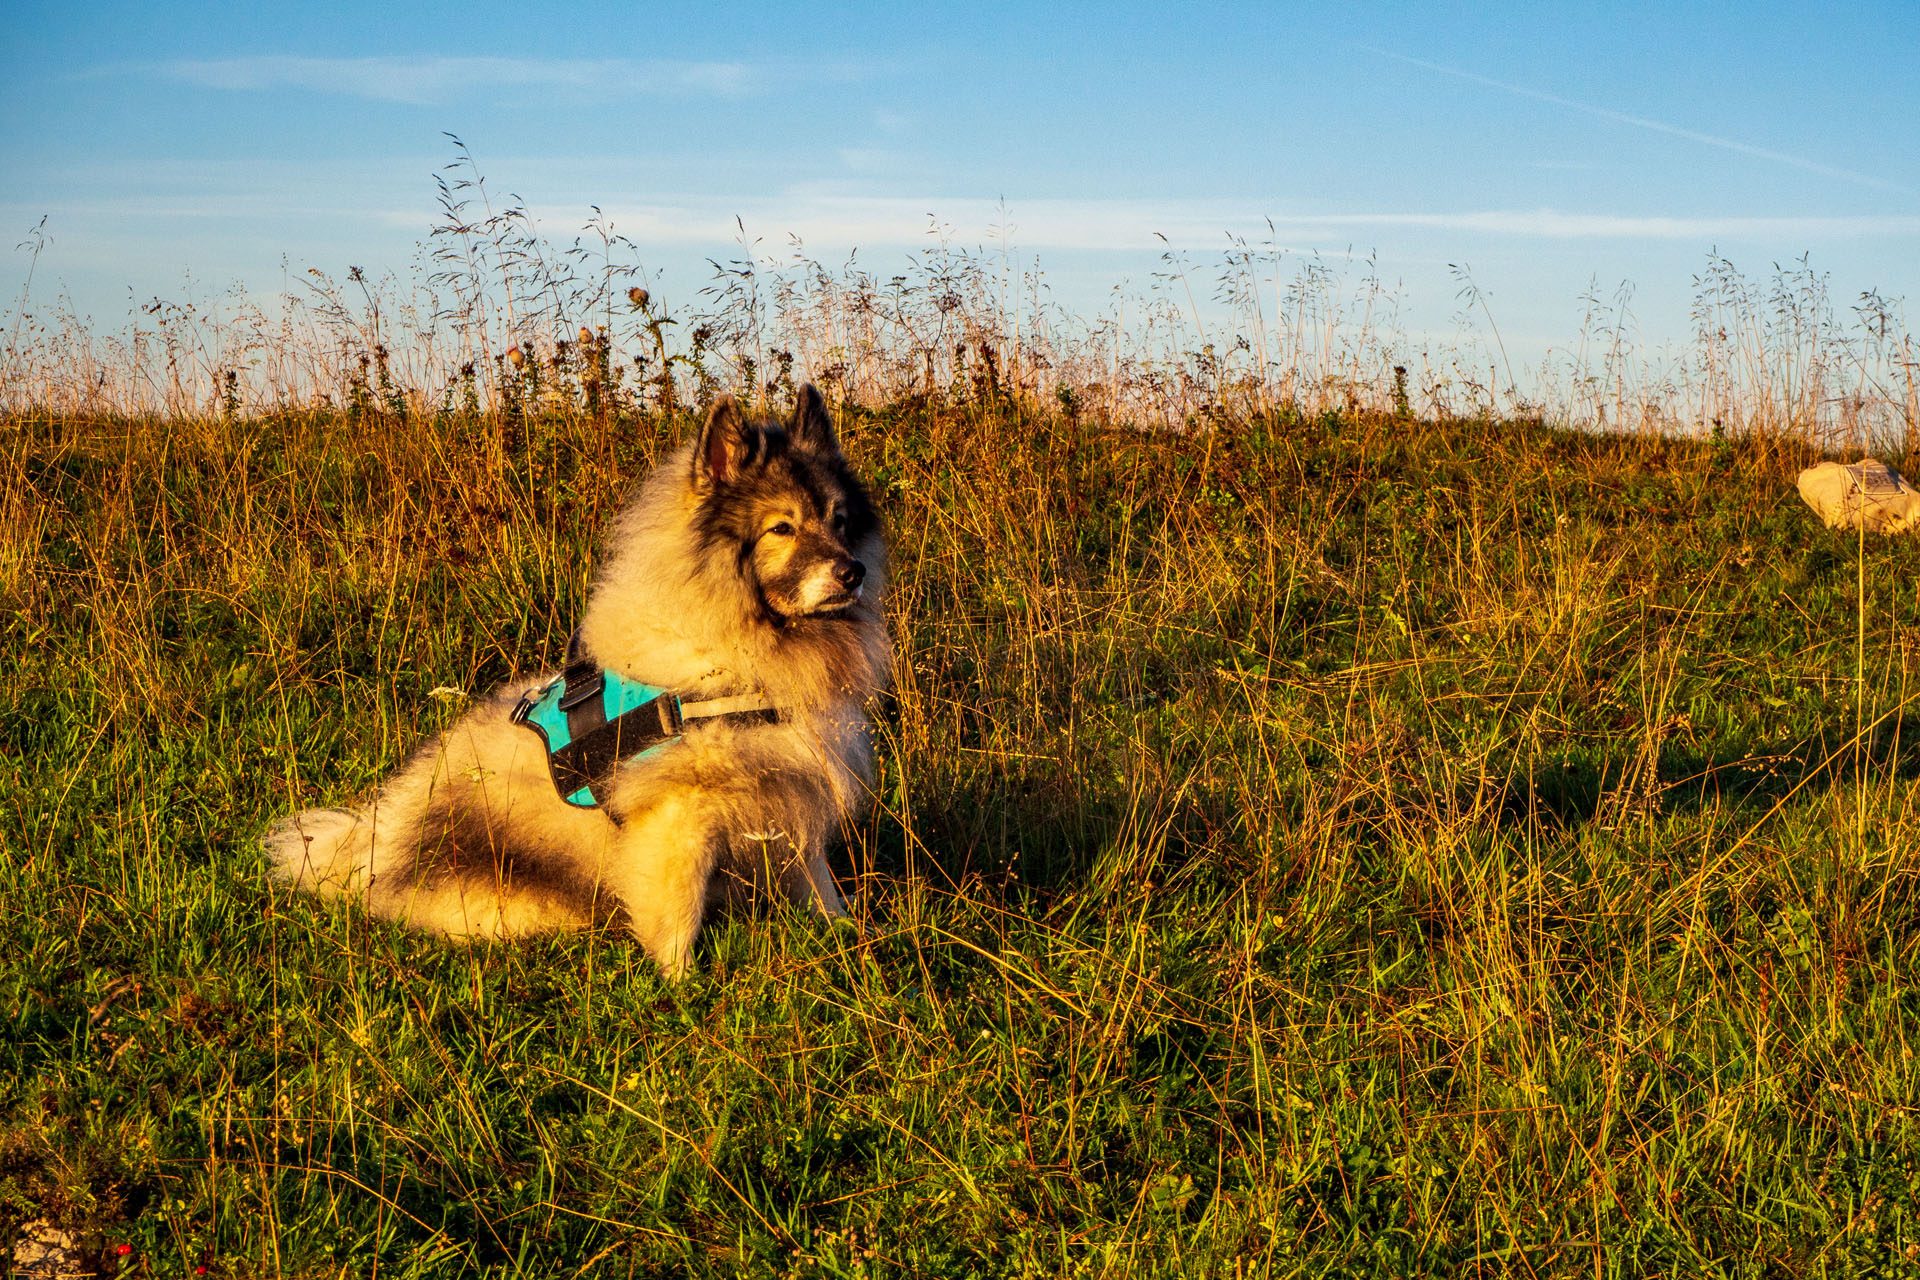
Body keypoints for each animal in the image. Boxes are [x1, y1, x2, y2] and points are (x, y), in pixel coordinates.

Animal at [264, 385, 890, 974]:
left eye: (838, 521)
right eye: (782, 528)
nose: (853, 571)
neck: (735, 650)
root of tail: (375, 848)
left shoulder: (792, 792)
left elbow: (818, 883)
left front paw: (850, 937)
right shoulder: (679, 821)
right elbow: (676, 918)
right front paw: (683, 984)